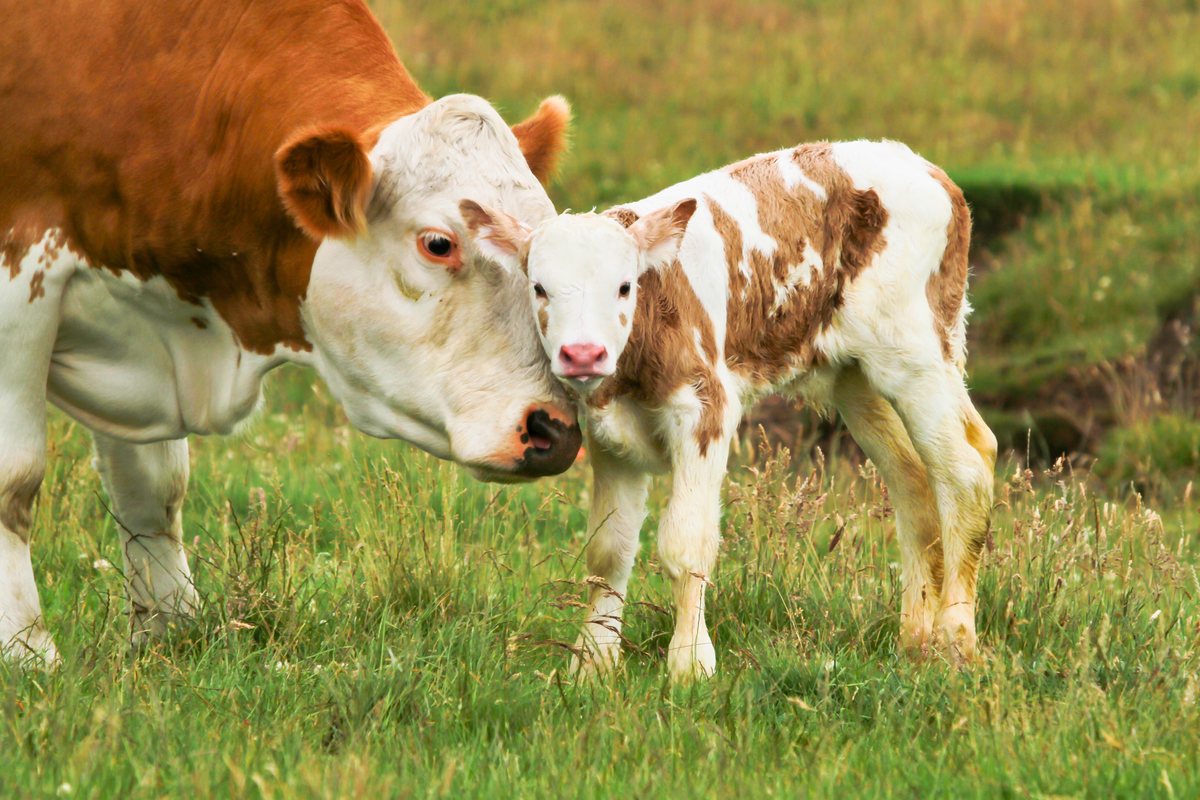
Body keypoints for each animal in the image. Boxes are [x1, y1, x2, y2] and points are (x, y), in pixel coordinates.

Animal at [0, 0, 584, 664]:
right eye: (439, 243)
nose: (555, 431)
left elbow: (152, 487)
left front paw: (171, 630)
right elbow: (15, 480)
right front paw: (25, 649)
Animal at [462, 140, 998, 682]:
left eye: (624, 286)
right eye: (538, 288)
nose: (583, 354)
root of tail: (921, 165)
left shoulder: (705, 408)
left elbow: (686, 543)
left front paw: (690, 664)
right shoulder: (608, 434)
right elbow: (608, 550)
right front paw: (592, 663)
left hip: (916, 349)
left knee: (966, 465)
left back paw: (956, 640)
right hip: (855, 375)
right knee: (911, 478)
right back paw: (915, 639)